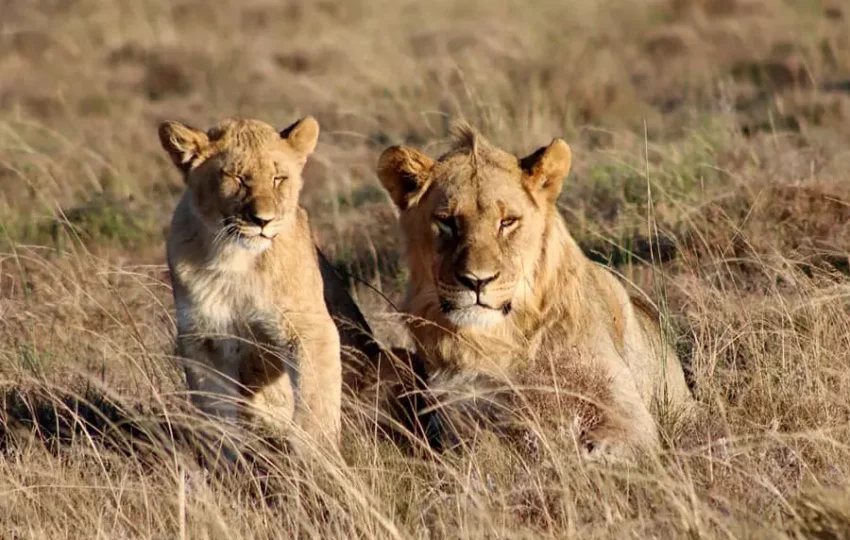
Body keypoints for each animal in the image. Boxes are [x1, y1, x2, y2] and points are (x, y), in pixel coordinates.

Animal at [159, 116, 342, 454]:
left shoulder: (307, 326)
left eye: (278, 178)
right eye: (237, 178)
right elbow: (215, 410)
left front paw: (313, 454)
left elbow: (314, 399)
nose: (263, 221)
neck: (236, 260)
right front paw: (224, 456)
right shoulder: (204, 336)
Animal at [376, 122, 688, 460]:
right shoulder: (459, 417)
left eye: (507, 222)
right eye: (447, 222)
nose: (477, 281)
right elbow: (489, 447)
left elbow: (610, 447)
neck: (500, 337)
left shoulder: (623, 408)